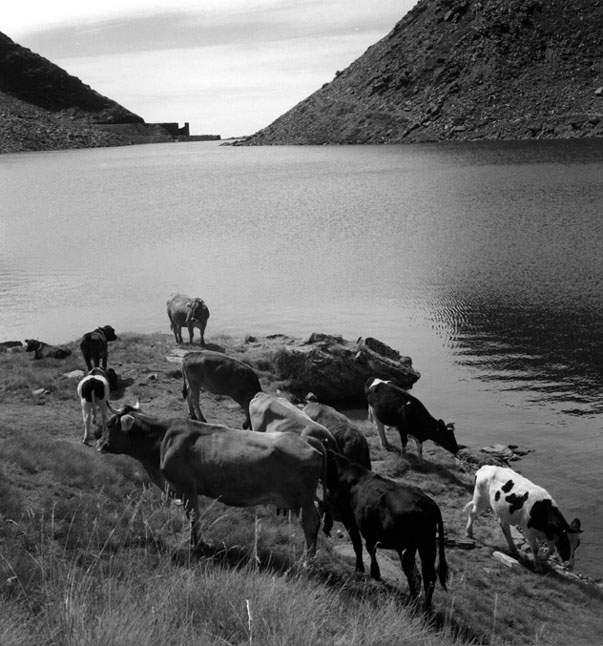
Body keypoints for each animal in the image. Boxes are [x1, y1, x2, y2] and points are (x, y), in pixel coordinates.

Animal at [326, 450, 448, 612]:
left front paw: (360, 569)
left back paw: (412, 603)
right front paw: (374, 572)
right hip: (427, 544)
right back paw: (426, 609)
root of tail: (426, 502)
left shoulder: (348, 518)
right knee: (429, 576)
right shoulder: (371, 533)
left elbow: (358, 545)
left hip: (406, 547)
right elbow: (370, 548)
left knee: (415, 575)